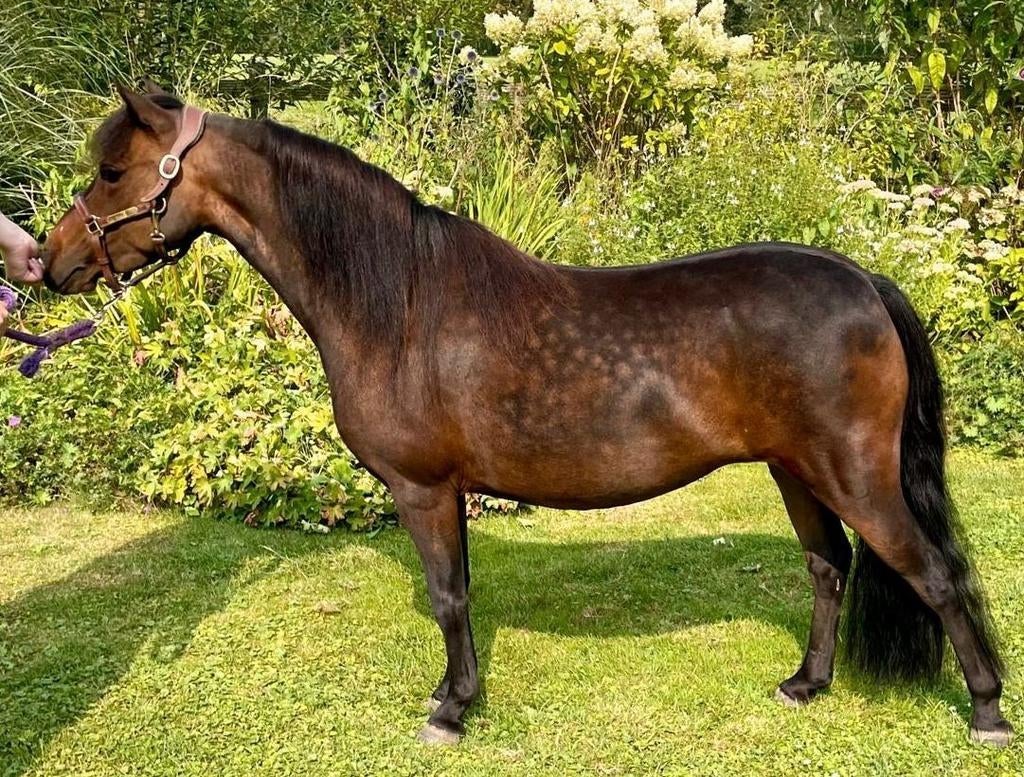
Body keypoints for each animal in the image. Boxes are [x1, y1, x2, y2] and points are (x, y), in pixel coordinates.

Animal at [41, 85, 1013, 748]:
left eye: (113, 171)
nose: (49, 263)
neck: (397, 303)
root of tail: (863, 281)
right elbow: (463, 592)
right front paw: (459, 697)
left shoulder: (423, 488)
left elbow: (447, 596)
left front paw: (449, 709)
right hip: (796, 469)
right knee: (827, 566)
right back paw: (807, 684)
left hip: (854, 472)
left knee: (933, 572)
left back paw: (987, 709)